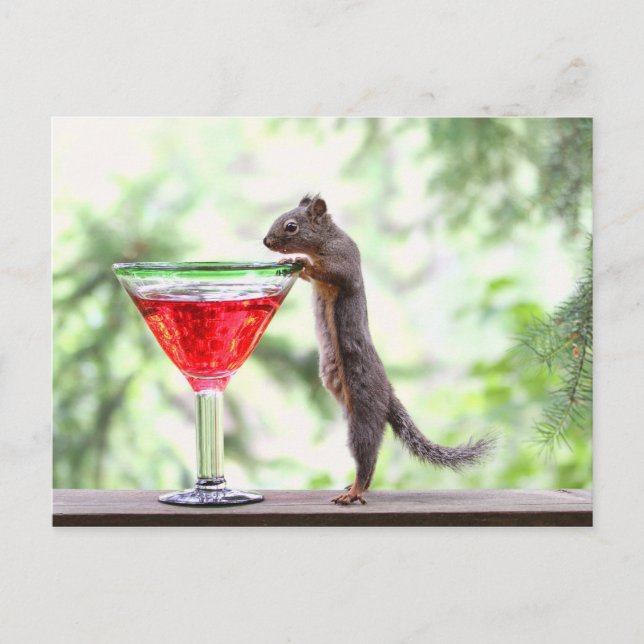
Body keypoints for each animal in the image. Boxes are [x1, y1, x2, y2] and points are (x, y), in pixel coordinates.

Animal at [263, 195, 496, 505]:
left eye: (291, 226)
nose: (266, 241)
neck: (327, 239)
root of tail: (388, 393)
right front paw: (289, 260)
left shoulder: (344, 261)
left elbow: (329, 272)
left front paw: (299, 261)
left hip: (363, 414)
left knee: (367, 456)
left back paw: (353, 492)